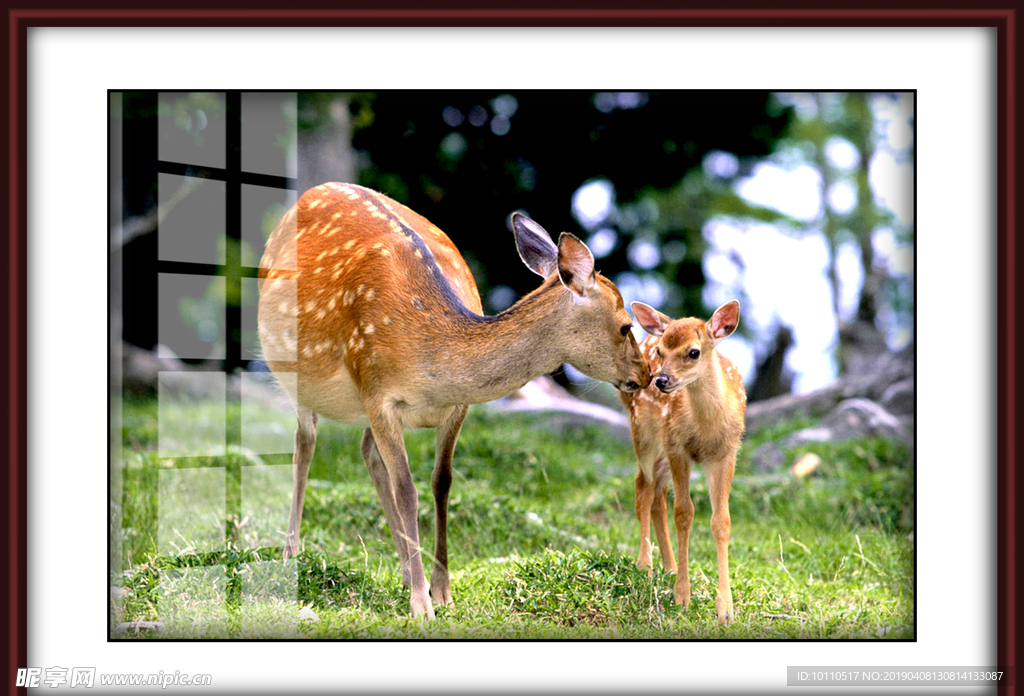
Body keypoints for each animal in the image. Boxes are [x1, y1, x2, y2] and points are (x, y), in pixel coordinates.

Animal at [260, 182, 651, 618]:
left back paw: (403, 570)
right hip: (298, 376)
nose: (647, 375)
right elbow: (407, 489)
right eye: (625, 326)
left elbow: (441, 482)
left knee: (367, 453)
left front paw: (441, 591)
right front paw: (421, 604)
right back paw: (291, 555)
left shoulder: (456, 407)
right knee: (305, 445)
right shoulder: (377, 390)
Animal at [618, 298, 749, 626]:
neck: (705, 428)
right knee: (643, 487)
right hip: (644, 431)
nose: (661, 380)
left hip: (662, 450)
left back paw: (669, 566)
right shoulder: (678, 447)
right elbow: (684, 514)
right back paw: (645, 564)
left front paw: (725, 610)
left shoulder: (727, 452)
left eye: (693, 352)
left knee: (657, 494)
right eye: (661, 352)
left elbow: (721, 521)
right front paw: (682, 597)